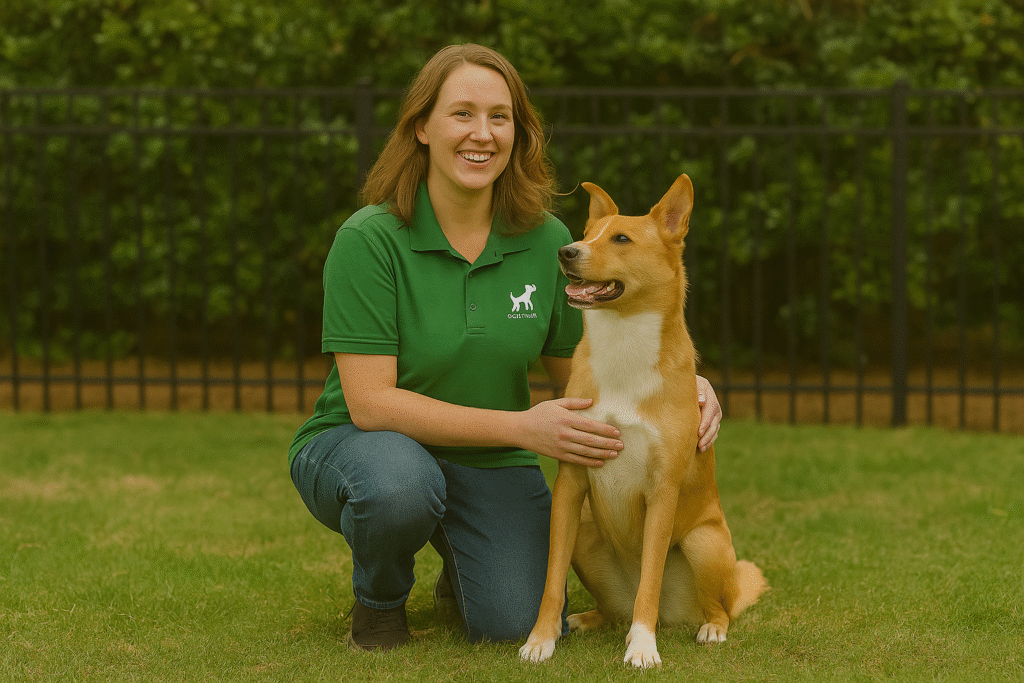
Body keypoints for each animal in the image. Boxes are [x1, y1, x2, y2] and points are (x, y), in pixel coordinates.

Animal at [519, 174, 766, 668]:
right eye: (587, 233)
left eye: (620, 239)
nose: (567, 252)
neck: (623, 347)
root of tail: (680, 615)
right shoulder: (570, 486)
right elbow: (552, 580)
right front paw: (541, 638)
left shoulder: (662, 491)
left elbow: (649, 584)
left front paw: (642, 647)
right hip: (586, 532)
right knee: (614, 607)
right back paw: (588, 619)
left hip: (704, 544)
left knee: (716, 605)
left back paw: (711, 627)